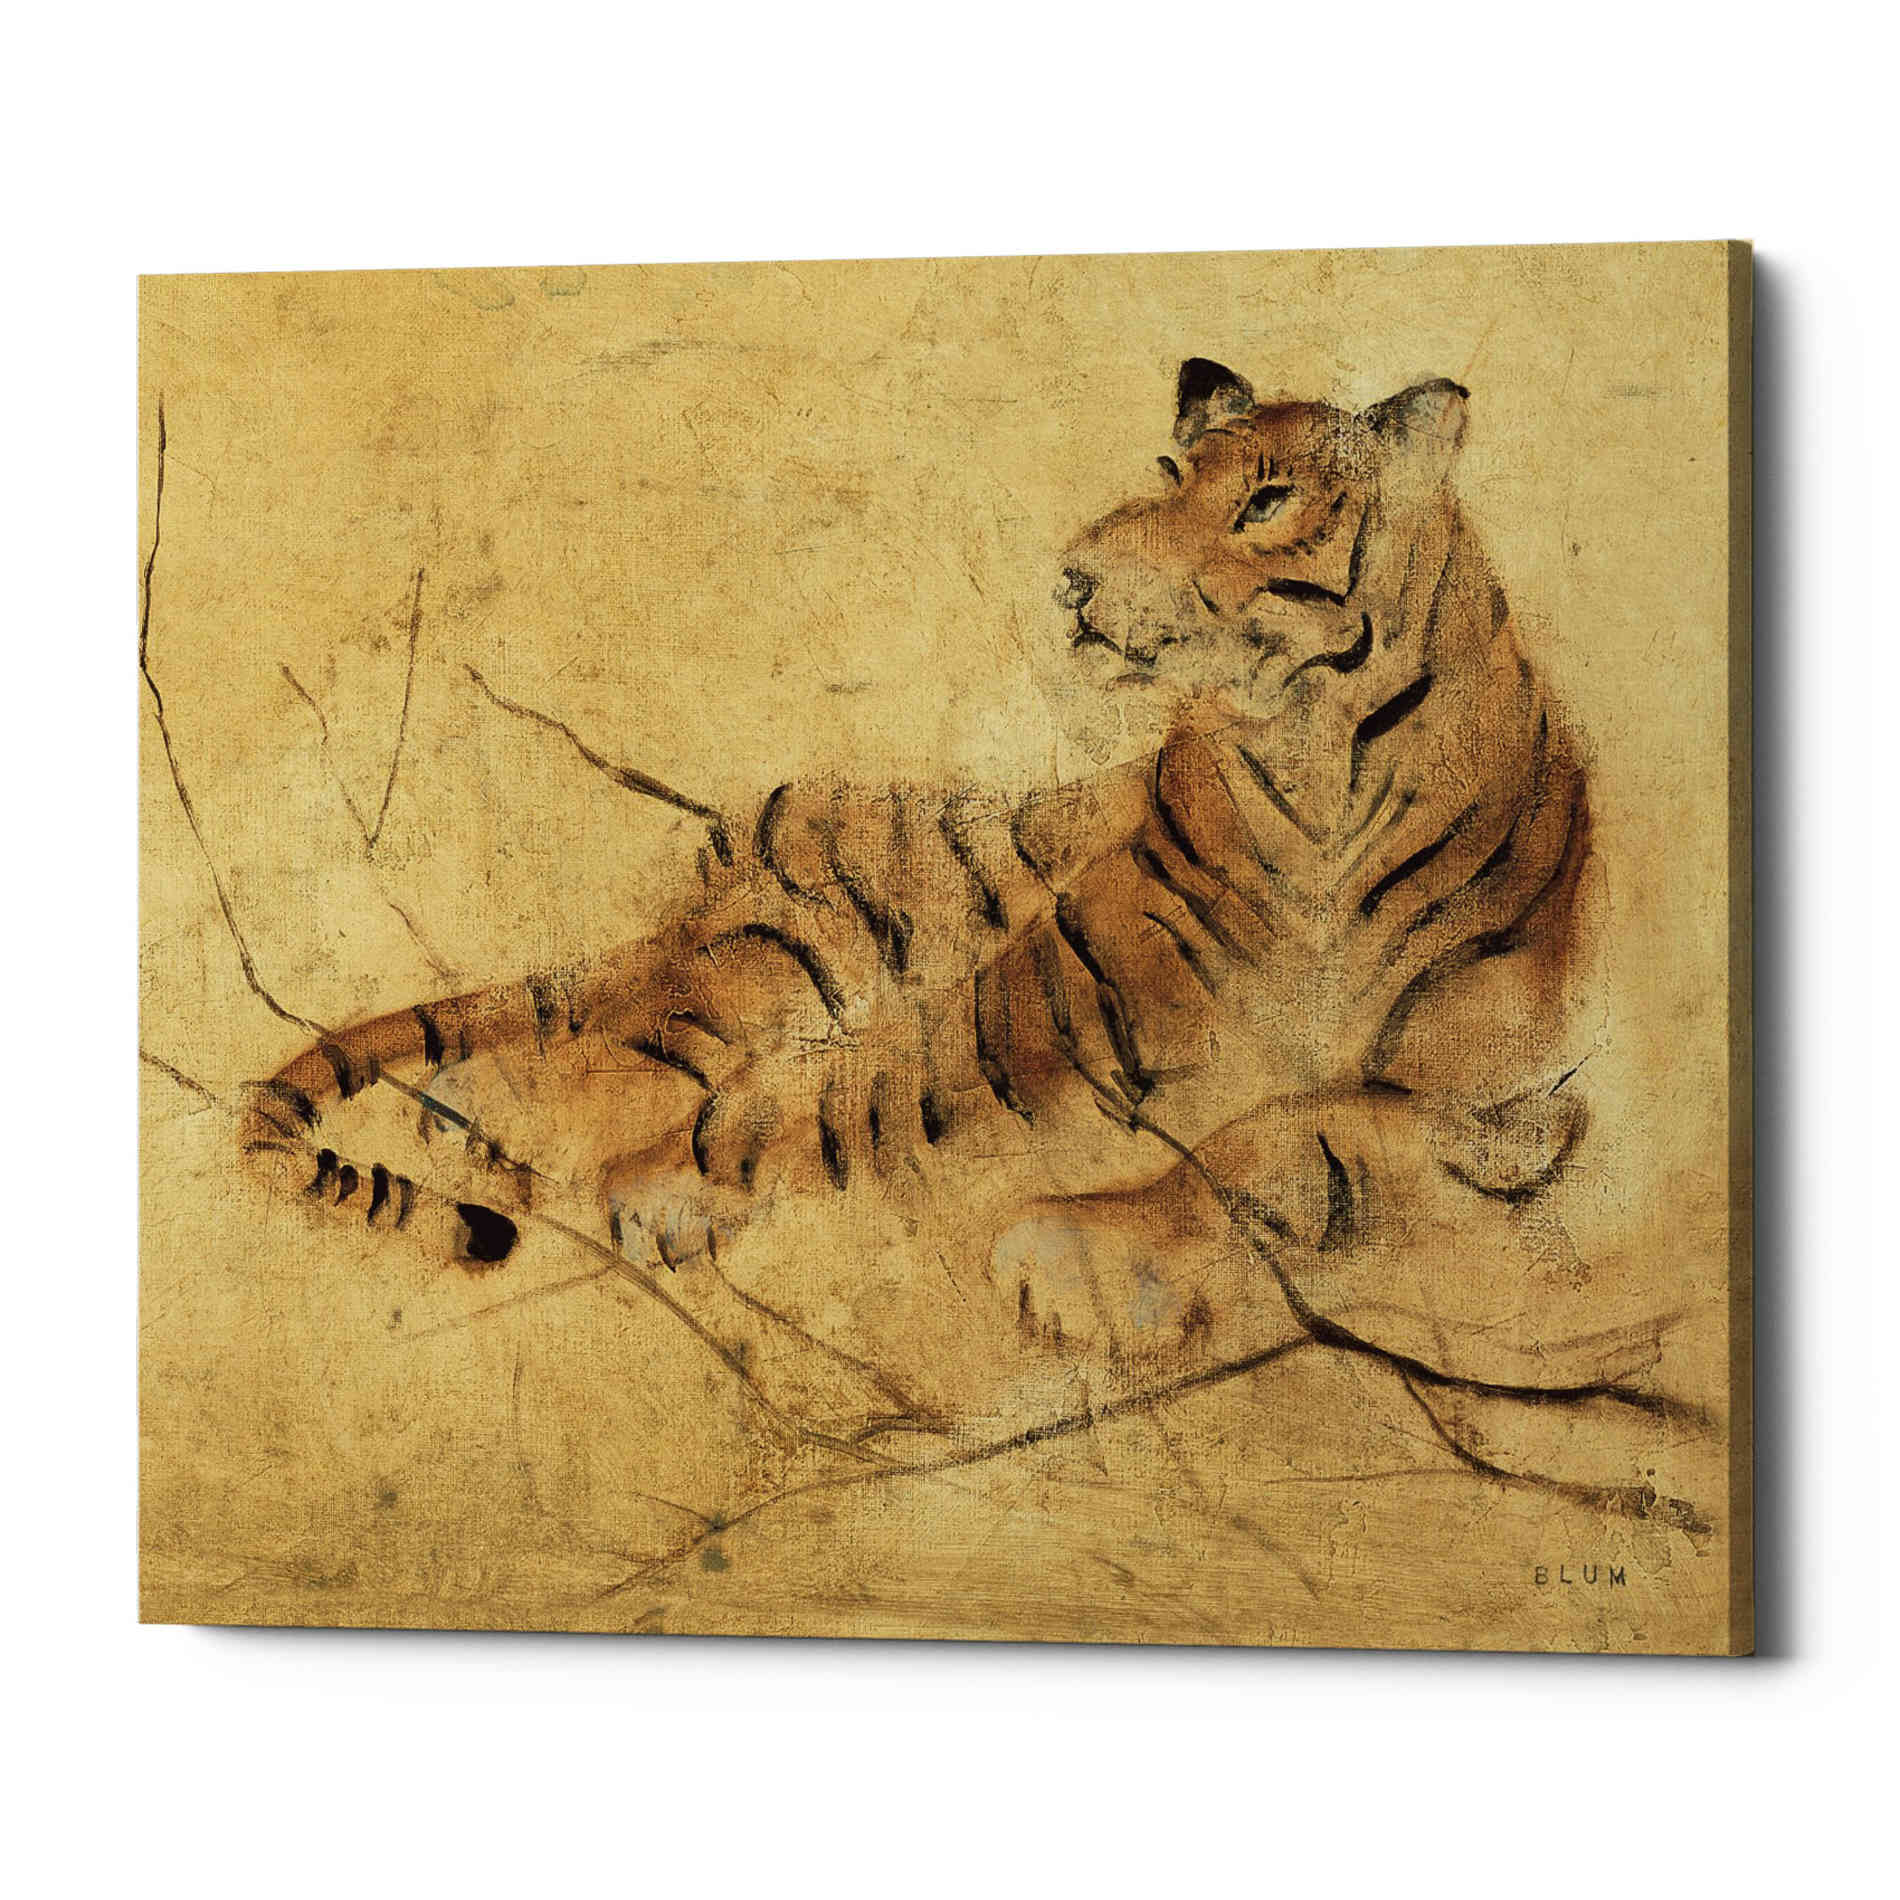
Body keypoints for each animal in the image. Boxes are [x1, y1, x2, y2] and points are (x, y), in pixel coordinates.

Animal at [239, 357, 1667, 1474]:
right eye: (1168, 468)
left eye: (1263, 501)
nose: (1077, 580)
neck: (1317, 762)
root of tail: (737, 839)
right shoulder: (1040, 1000)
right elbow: (848, 1096)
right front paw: (670, 1190)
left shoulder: (1467, 1064)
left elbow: (1285, 1134)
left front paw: (1081, 1259)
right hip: (772, 960)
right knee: (600, 1063)